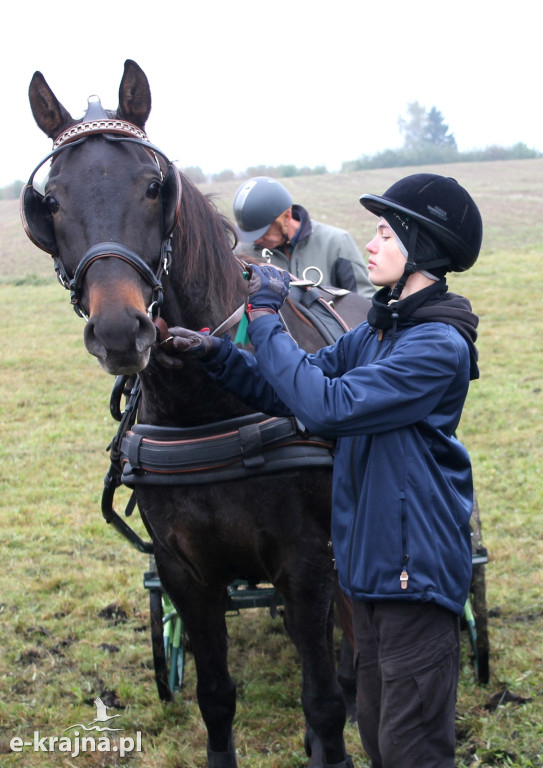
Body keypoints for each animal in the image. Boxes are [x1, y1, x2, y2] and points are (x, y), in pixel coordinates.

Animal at [21, 61, 370, 768]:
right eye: (53, 201)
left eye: (155, 186)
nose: (119, 329)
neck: (205, 406)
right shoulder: (185, 570)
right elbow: (216, 698)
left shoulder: (305, 560)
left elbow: (320, 700)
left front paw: (335, 727)